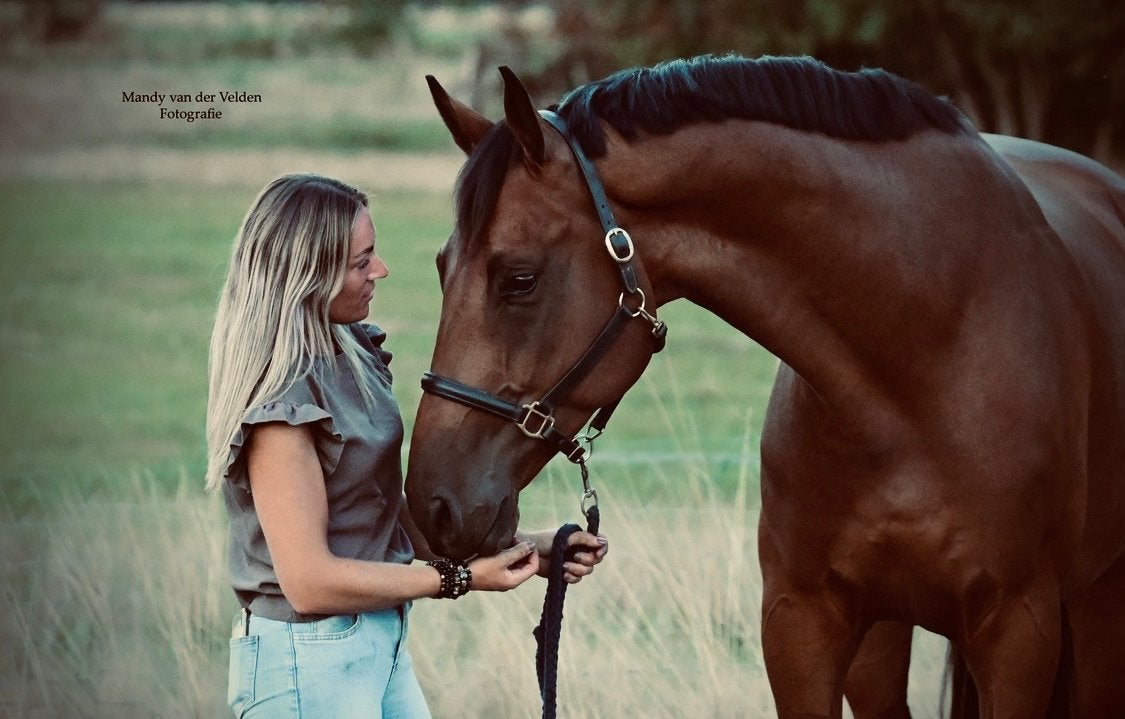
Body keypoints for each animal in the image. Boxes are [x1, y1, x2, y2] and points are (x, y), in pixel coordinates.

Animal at [403, 54, 1125, 718]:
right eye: (439, 266)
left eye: (518, 279)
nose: (431, 506)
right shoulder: (799, 622)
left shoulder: (1018, 632)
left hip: (1093, 614)